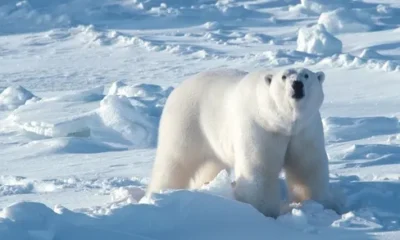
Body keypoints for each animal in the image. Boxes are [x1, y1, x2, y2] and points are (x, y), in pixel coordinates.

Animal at [145, 67, 336, 218]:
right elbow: (259, 168)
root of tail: (178, 88)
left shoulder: (305, 130)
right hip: (187, 121)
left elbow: (307, 166)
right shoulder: (260, 128)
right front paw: (264, 210)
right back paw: (161, 192)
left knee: (210, 165)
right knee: (175, 161)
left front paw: (318, 204)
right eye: (284, 76)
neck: (281, 123)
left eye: (306, 75)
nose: (296, 84)